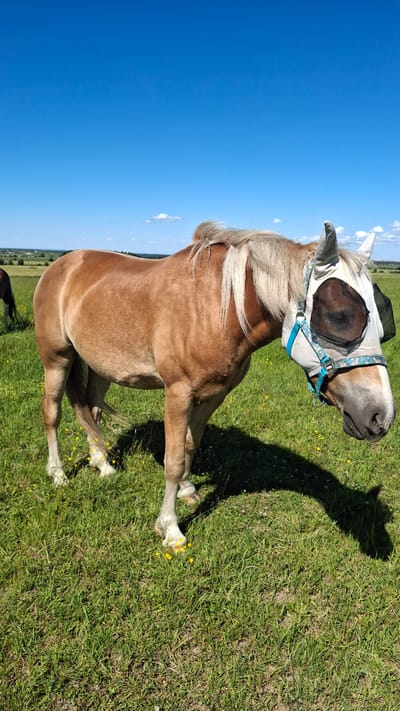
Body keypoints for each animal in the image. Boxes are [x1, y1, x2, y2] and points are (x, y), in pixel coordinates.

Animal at [33, 221, 395, 548]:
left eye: (381, 321)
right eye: (339, 315)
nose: (380, 417)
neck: (215, 310)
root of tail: (63, 265)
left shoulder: (212, 396)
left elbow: (190, 446)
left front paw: (188, 490)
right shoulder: (177, 393)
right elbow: (173, 460)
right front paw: (170, 529)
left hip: (101, 367)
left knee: (92, 410)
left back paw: (103, 465)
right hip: (57, 359)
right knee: (52, 413)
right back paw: (58, 474)